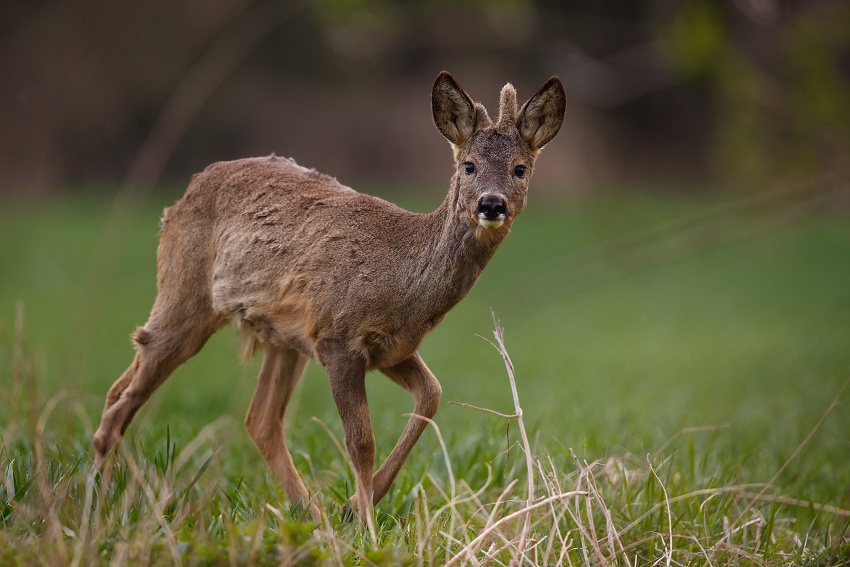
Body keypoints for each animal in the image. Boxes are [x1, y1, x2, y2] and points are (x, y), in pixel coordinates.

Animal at [93, 71, 566, 528]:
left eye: (520, 169)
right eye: (468, 165)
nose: (492, 204)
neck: (405, 281)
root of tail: (179, 199)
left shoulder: (392, 349)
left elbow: (431, 396)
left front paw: (355, 507)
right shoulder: (338, 338)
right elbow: (361, 441)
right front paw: (367, 527)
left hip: (281, 339)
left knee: (251, 418)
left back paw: (312, 515)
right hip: (185, 296)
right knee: (125, 399)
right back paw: (103, 507)